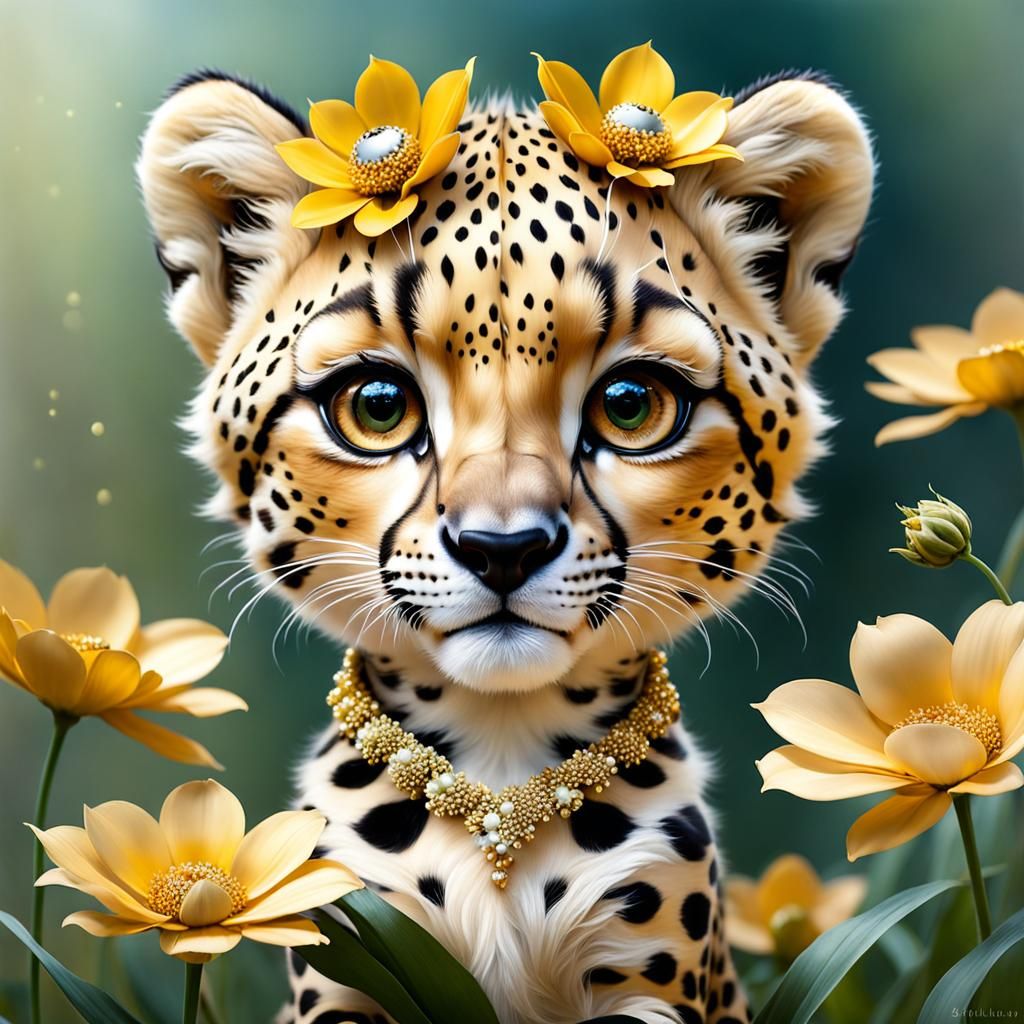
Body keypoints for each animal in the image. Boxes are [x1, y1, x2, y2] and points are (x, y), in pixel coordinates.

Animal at [137, 62, 872, 1024]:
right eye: (378, 406)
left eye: (631, 405)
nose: (503, 548)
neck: (501, 746)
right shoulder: (346, 965)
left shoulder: (650, 977)